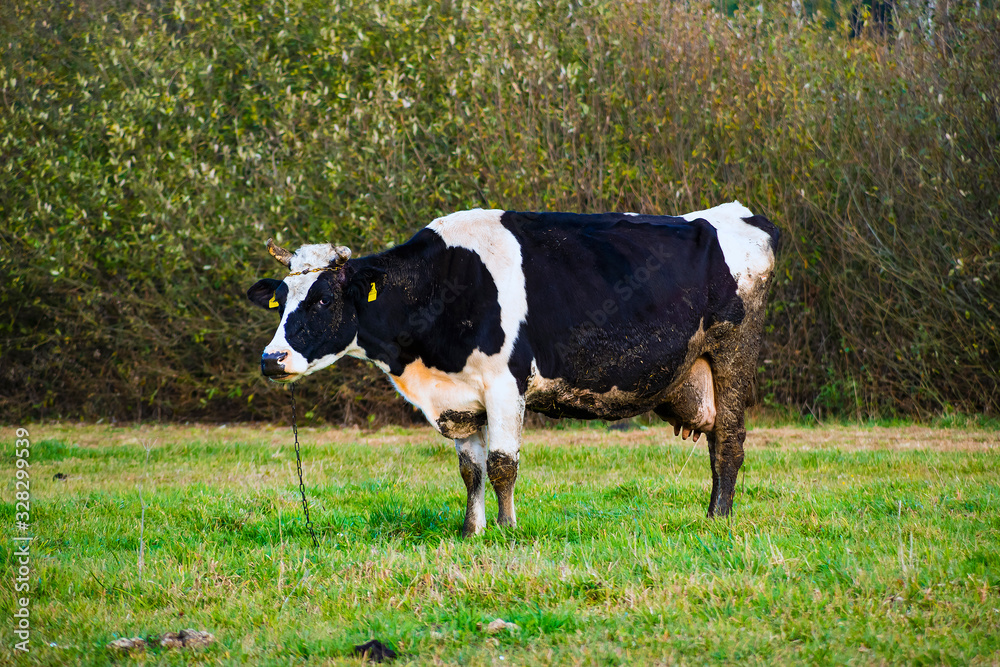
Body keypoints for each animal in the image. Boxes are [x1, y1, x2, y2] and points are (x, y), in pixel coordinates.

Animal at [250, 202, 780, 536]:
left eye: (321, 299)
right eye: (281, 300)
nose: (271, 359)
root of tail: (735, 214)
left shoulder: (505, 383)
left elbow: (504, 464)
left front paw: (506, 530)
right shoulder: (459, 399)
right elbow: (471, 470)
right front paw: (471, 530)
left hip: (732, 355)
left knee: (728, 442)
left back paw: (717, 519)